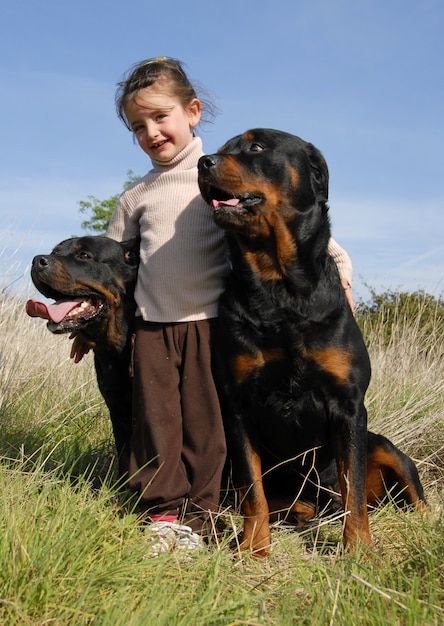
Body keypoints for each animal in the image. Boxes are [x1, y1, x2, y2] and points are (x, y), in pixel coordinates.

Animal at [199, 128, 426, 556]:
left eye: (256, 146)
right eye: (220, 150)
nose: (204, 162)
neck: (279, 289)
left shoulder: (348, 405)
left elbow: (354, 489)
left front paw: (359, 551)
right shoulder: (238, 406)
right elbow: (252, 490)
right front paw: (254, 548)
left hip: (383, 446)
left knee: (408, 492)